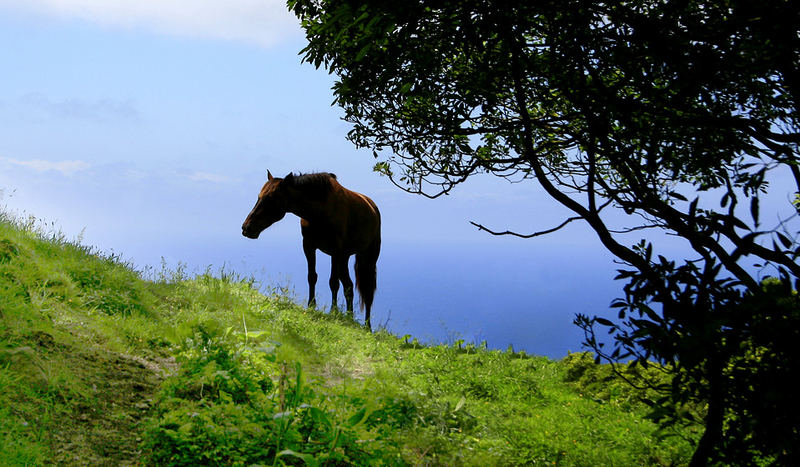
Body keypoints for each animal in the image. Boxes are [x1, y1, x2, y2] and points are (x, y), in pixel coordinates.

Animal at [241, 171, 382, 330]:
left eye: (270, 198)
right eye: (259, 196)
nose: (246, 228)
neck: (320, 210)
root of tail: (372, 207)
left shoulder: (335, 251)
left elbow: (333, 282)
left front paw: (333, 311)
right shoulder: (309, 246)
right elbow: (312, 277)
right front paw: (311, 305)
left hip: (367, 257)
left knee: (367, 291)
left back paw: (367, 326)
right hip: (344, 258)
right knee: (349, 286)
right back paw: (349, 317)